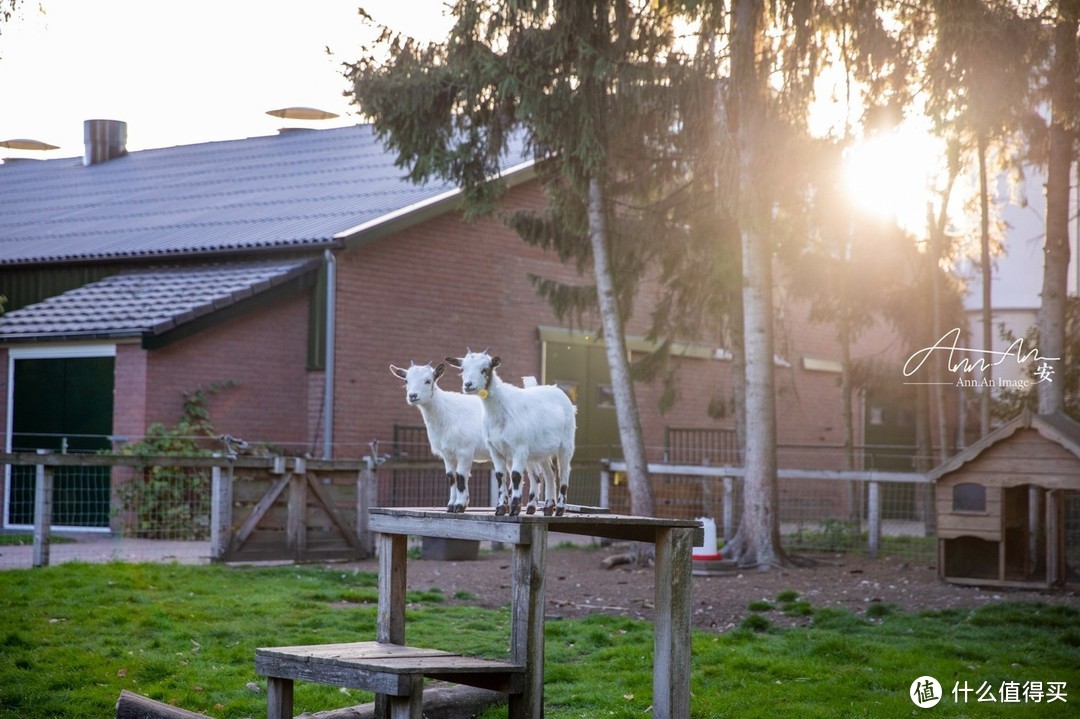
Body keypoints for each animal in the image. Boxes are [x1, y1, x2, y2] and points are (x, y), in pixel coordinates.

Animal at [390, 360, 557, 511]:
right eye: (406, 381)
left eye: (428, 381)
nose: (412, 396)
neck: (445, 411)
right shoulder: (447, 454)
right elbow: (451, 477)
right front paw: (450, 505)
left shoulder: (465, 451)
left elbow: (461, 476)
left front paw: (460, 505)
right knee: (534, 474)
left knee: (540, 474)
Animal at [442, 347, 574, 511]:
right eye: (462, 369)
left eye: (485, 369)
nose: (468, 385)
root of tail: (557, 390)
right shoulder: (495, 449)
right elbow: (500, 476)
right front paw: (500, 508)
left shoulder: (520, 447)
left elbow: (516, 476)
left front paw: (515, 508)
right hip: (542, 450)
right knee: (549, 473)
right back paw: (549, 507)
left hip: (566, 445)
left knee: (564, 472)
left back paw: (560, 508)